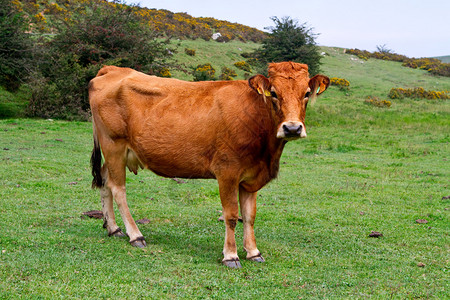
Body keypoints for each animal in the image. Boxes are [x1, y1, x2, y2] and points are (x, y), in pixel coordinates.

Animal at [89, 62, 330, 268]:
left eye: (306, 93)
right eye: (274, 93)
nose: (292, 128)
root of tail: (113, 69)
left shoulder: (251, 177)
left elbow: (249, 216)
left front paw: (253, 252)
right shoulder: (227, 172)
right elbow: (231, 215)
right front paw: (231, 255)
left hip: (114, 153)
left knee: (104, 182)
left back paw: (113, 228)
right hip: (114, 145)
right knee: (118, 189)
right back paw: (135, 235)